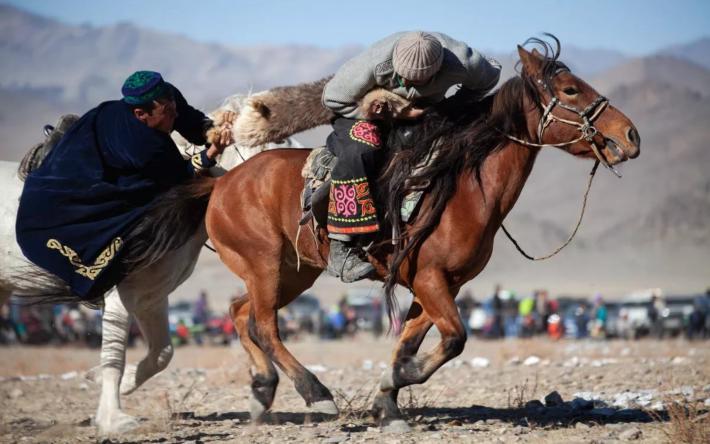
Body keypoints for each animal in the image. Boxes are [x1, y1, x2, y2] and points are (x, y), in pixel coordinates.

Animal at [0, 92, 304, 436]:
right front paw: (113, 418)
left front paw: (107, 384)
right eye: (280, 143)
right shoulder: (118, 296)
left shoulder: (151, 298)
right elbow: (114, 358)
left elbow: (161, 355)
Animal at [197, 40, 644, 424]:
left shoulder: (443, 284)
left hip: (294, 271)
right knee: (264, 326)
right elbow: (455, 339)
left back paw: (262, 391)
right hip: (265, 265)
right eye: (570, 89)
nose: (630, 135)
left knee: (241, 313)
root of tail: (223, 182)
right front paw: (394, 382)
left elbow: (410, 341)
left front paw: (387, 401)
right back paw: (316, 393)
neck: (463, 186)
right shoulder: (431, 280)